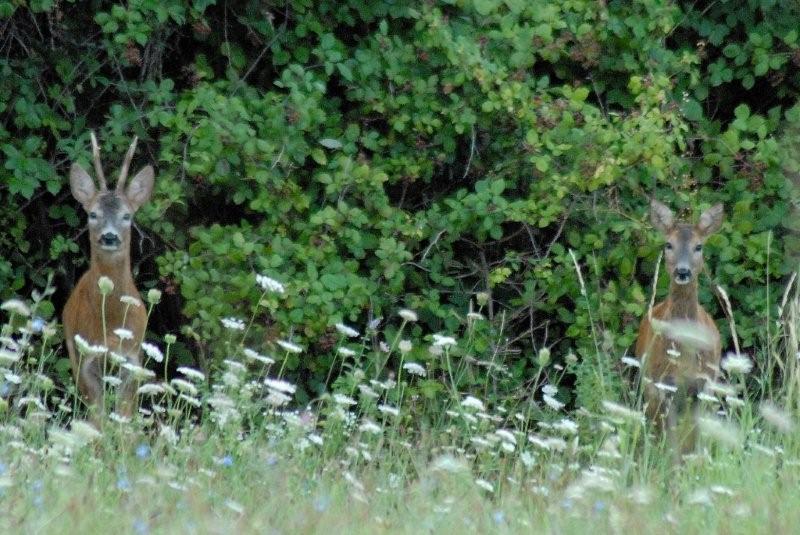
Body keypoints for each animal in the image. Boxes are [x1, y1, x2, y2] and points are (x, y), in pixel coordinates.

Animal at [63, 134, 154, 418]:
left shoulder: (132, 359)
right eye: (93, 214)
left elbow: (125, 417)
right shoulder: (86, 362)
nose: (110, 237)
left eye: (127, 215)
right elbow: (98, 420)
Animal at [636, 199, 724, 454]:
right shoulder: (664, 385)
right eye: (668, 244)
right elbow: (672, 440)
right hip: (649, 385)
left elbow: (695, 440)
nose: (682, 271)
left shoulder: (704, 384)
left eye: (698, 246)